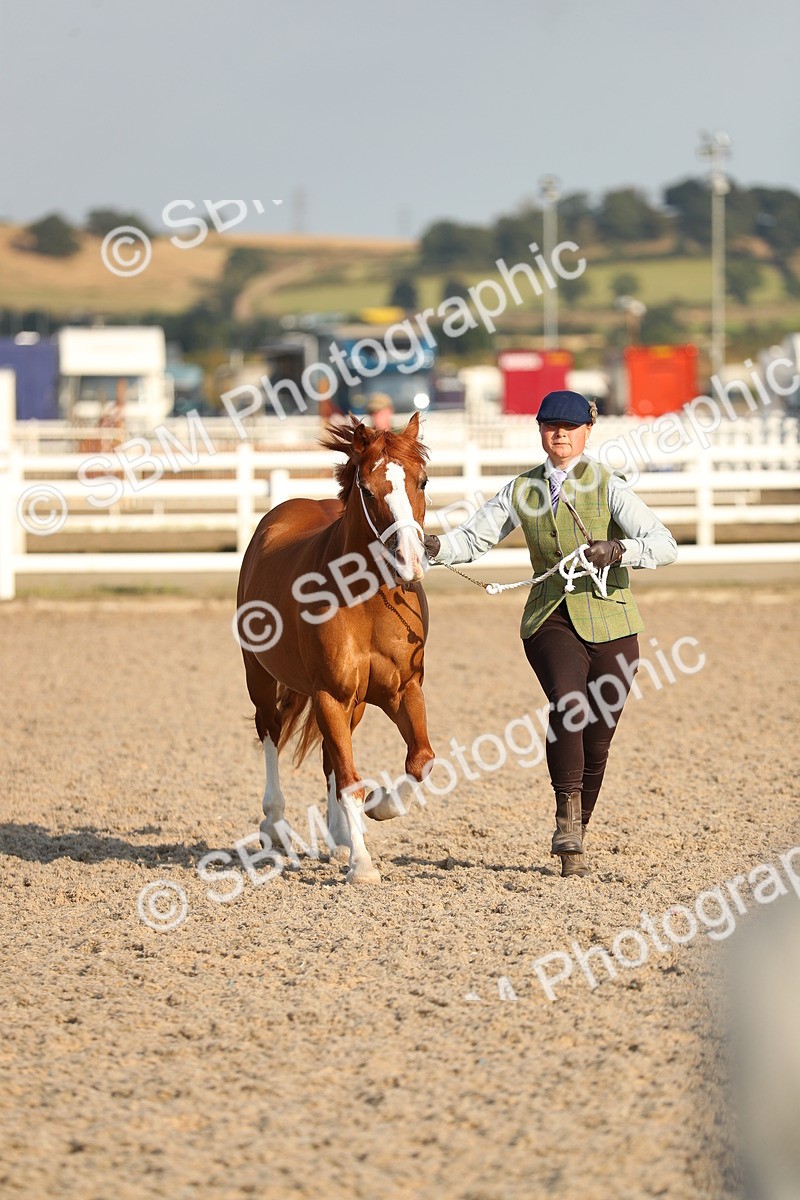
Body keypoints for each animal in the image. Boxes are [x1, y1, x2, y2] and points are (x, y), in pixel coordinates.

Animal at [235, 412, 436, 884]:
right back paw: (275, 827)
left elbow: (419, 760)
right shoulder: (330, 694)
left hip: (355, 705)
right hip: (261, 677)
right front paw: (362, 865)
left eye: (422, 480)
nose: (410, 560)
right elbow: (348, 780)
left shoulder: (403, 690)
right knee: (270, 731)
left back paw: (340, 837)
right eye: (367, 488)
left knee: (330, 756)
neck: (368, 603)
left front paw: (380, 808)